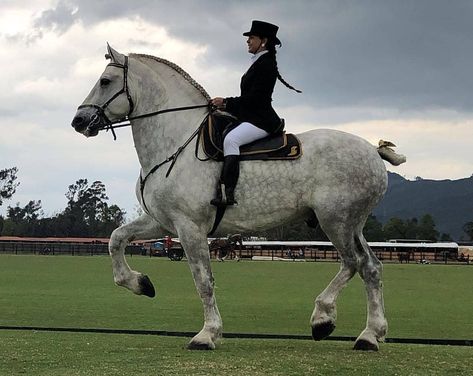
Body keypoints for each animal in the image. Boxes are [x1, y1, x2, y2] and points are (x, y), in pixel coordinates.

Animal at [72, 45, 404, 352]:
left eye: (105, 81)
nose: (79, 121)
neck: (175, 144)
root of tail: (373, 151)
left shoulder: (190, 228)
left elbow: (204, 281)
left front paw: (207, 334)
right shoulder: (162, 223)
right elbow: (116, 240)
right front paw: (141, 283)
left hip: (336, 221)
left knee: (353, 263)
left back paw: (327, 320)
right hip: (353, 224)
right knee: (371, 267)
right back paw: (369, 334)